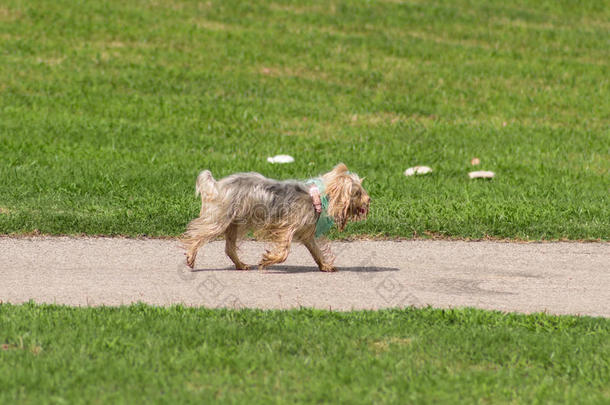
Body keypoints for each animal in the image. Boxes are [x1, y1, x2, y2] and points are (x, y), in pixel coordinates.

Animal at [180, 162, 368, 272]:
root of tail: (218, 185)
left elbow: (316, 251)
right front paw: (267, 260)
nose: (369, 200)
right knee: (198, 233)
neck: (316, 197)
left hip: (234, 223)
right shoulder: (287, 227)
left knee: (229, 248)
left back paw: (241, 265)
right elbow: (284, 251)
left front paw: (325, 265)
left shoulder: (307, 235)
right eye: (357, 193)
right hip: (220, 219)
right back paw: (190, 256)